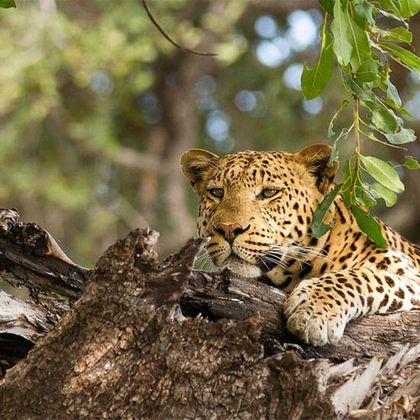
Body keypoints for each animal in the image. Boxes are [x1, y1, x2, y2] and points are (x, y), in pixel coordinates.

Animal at [180, 143, 420, 346]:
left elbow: (363, 276)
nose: (229, 229)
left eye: (269, 192)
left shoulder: (409, 272)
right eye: (217, 193)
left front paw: (314, 311)